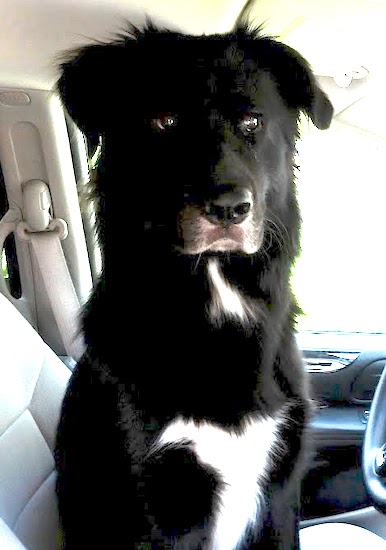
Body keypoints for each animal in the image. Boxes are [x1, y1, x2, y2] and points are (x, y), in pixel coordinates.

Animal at [55, 10, 334, 548]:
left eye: (252, 122)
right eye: (164, 122)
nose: (228, 208)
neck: (214, 297)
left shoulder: (281, 492)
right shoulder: (151, 506)